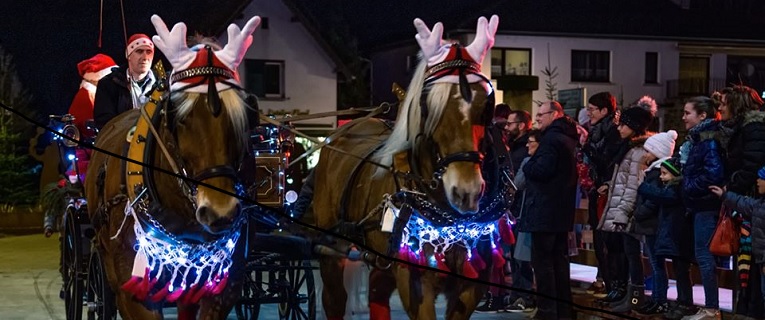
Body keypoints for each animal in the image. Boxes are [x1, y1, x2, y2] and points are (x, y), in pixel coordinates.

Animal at [314, 15, 504, 320]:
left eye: (486, 104)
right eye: (429, 106)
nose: (466, 192)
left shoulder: (470, 285)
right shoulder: (415, 281)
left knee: (377, 292)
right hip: (330, 250)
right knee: (335, 299)